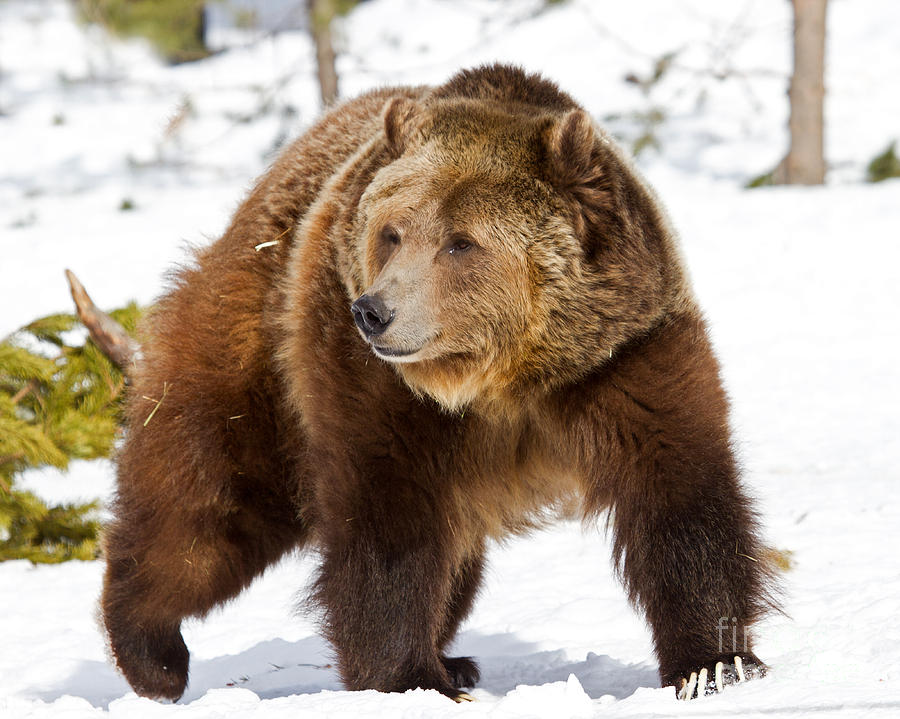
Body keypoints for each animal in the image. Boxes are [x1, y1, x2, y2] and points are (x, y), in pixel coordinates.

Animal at [98, 64, 772, 704]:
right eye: (392, 232)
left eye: (461, 242)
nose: (374, 311)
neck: (504, 376)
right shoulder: (379, 386)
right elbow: (389, 514)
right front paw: (406, 676)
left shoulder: (620, 357)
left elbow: (675, 488)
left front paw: (716, 663)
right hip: (259, 343)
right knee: (207, 496)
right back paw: (153, 653)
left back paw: (454, 656)